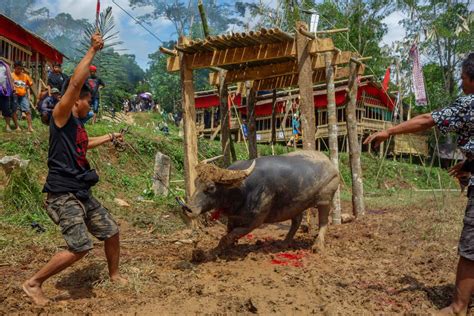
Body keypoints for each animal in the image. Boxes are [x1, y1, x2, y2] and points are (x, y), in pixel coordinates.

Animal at [184, 151, 336, 260]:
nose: (187, 208)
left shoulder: (254, 222)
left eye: (211, 187)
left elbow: (226, 237)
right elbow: (228, 234)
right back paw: (284, 243)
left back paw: (317, 246)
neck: (241, 190)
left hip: (325, 200)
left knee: (323, 222)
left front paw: (209, 254)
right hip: (295, 204)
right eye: (196, 182)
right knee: (297, 221)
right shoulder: (233, 218)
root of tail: (331, 165)